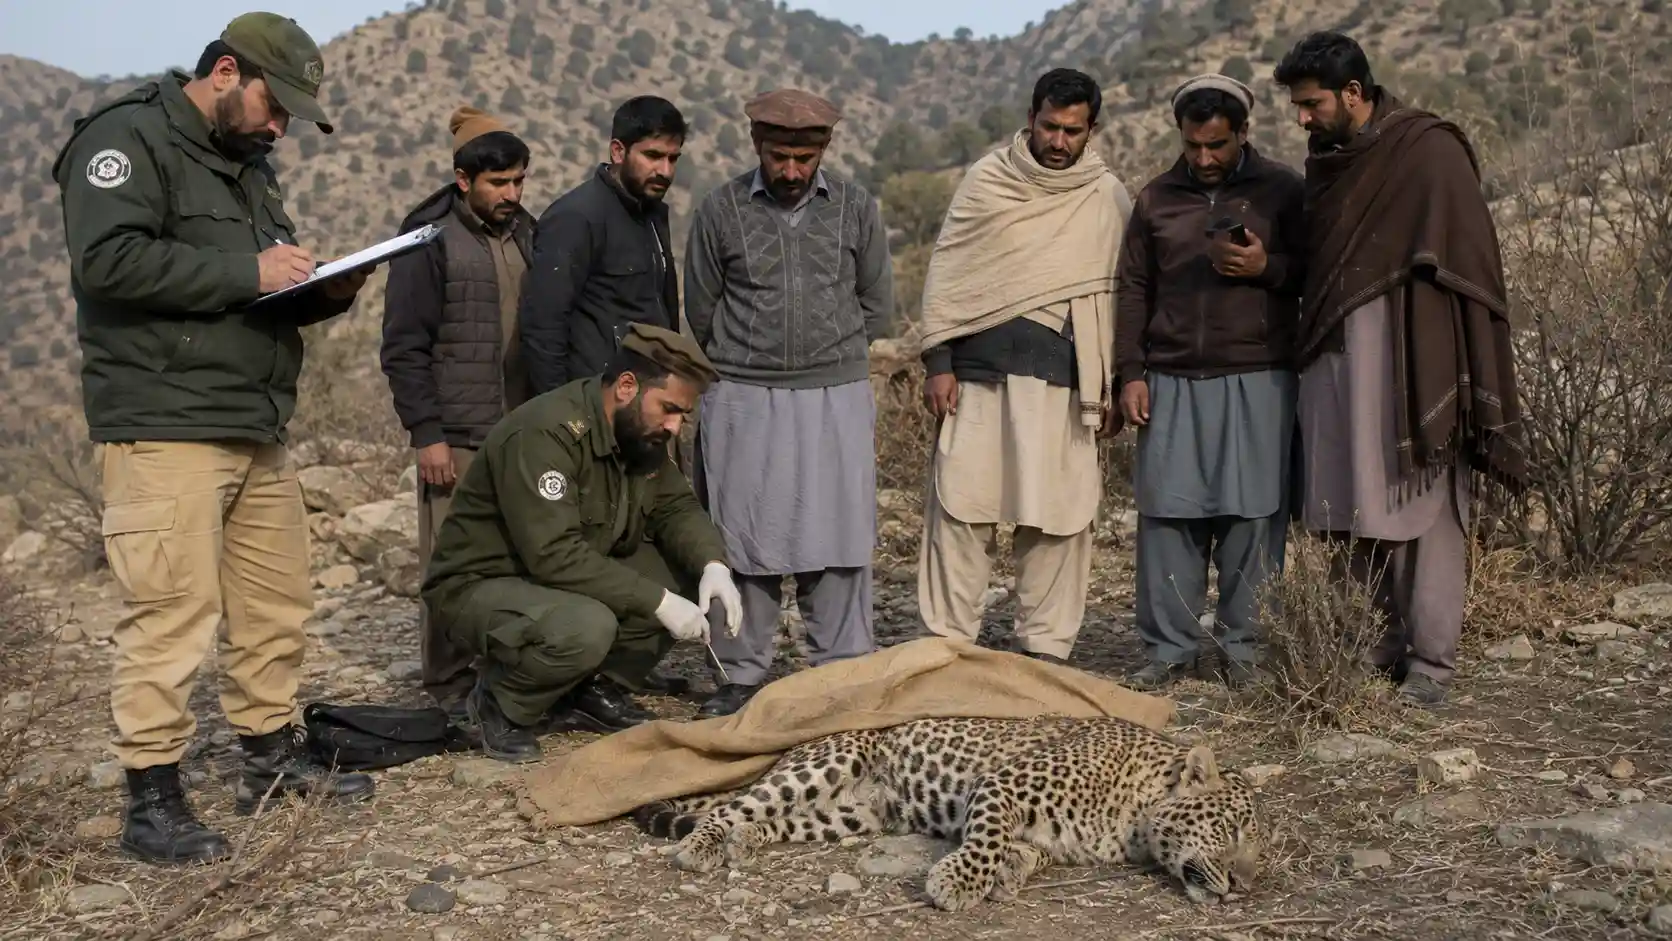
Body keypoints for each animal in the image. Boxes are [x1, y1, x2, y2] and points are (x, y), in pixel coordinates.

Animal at [629, 715, 1264, 912]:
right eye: (1231, 828)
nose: (1243, 883)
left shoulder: (1053, 835)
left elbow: (1028, 852)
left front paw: (1011, 872)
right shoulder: (1003, 784)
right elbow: (985, 838)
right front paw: (958, 883)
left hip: (853, 816)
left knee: (770, 819)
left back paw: (746, 841)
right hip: (823, 764)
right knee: (731, 806)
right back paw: (703, 846)